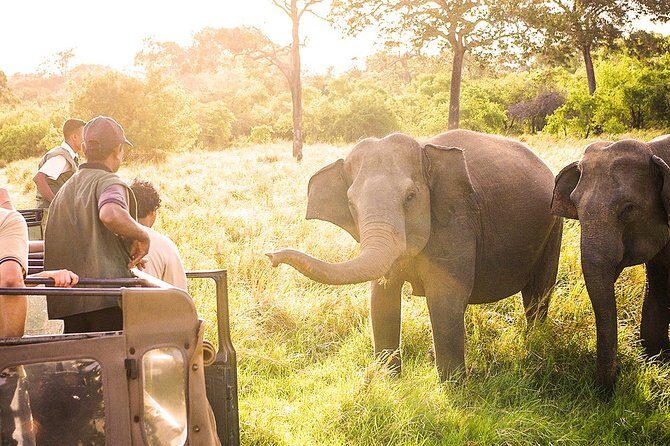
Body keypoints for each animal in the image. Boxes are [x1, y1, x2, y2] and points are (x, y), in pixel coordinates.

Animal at [267, 129, 563, 381]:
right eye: (351, 203)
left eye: (410, 196)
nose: (271, 256)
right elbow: (382, 298)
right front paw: (388, 380)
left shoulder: (456, 219)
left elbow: (445, 296)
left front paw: (453, 388)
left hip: (553, 223)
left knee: (539, 291)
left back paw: (533, 343)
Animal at [552, 134, 670, 393]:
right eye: (575, 205)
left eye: (629, 208)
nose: (619, 374)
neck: (653, 149)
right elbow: (658, 287)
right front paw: (658, 359)